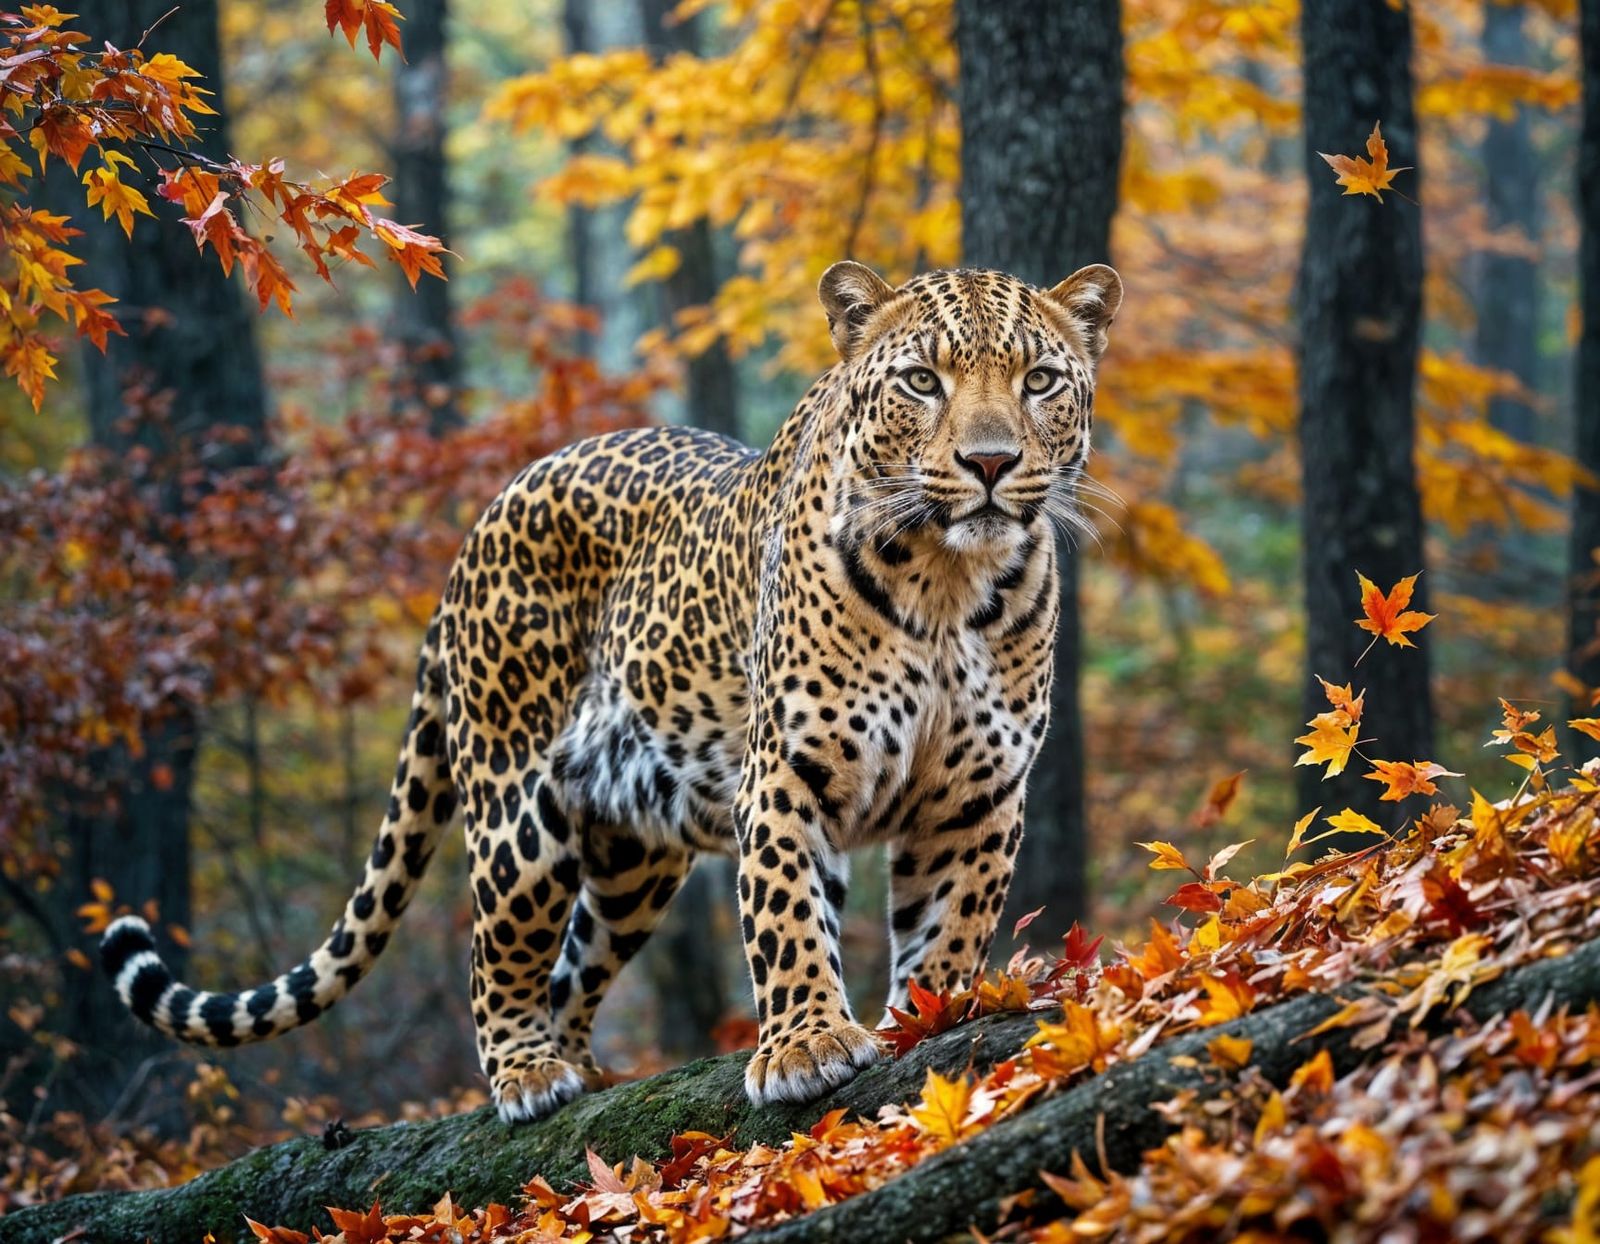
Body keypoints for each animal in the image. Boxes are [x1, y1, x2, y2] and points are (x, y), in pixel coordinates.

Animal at [100, 260, 1123, 1124]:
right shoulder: (787, 772)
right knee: (497, 954)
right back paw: (528, 1077)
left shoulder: (978, 794)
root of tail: (482, 521)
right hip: (519, 812)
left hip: (634, 857)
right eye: (921, 381)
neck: (949, 585)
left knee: (572, 967)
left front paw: (932, 1014)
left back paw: (585, 1071)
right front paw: (805, 1045)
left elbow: (949, 924)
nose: (989, 464)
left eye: (1039, 380)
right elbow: (788, 914)